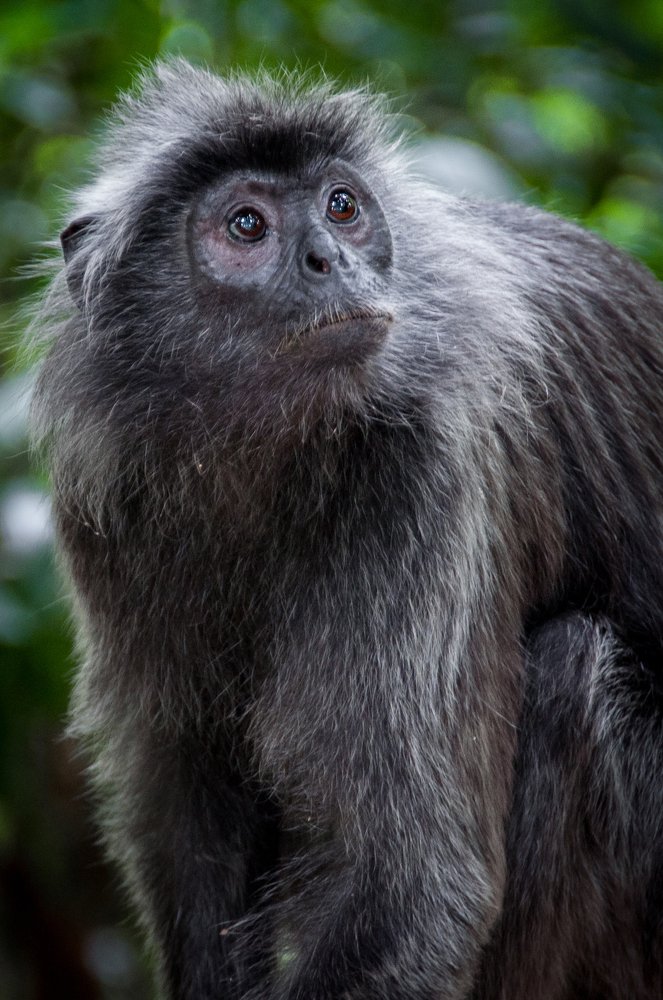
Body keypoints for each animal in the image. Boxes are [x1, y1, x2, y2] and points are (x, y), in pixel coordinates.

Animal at [31, 60, 663, 999]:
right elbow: (192, 812)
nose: (329, 259)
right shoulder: (106, 497)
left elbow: (413, 882)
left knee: (571, 674)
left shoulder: (429, 459)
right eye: (246, 225)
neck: (264, 449)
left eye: (339, 207)